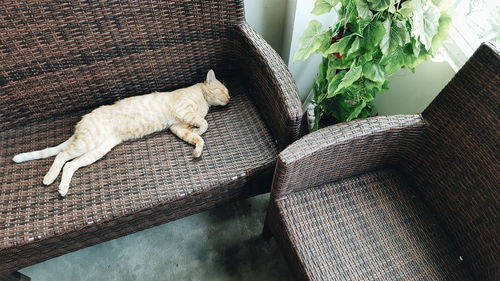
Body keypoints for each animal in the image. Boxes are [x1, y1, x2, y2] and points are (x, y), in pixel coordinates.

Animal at [12, 69, 230, 197]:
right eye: (224, 91)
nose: (230, 98)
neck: (204, 102)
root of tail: (81, 123)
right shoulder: (183, 111)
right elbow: (204, 124)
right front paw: (200, 127)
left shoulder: (178, 127)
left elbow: (196, 138)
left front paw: (197, 150)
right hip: (87, 142)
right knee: (62, 155)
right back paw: (49, 178)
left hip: (97, 150)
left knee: (70, 165)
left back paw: (63, 188)